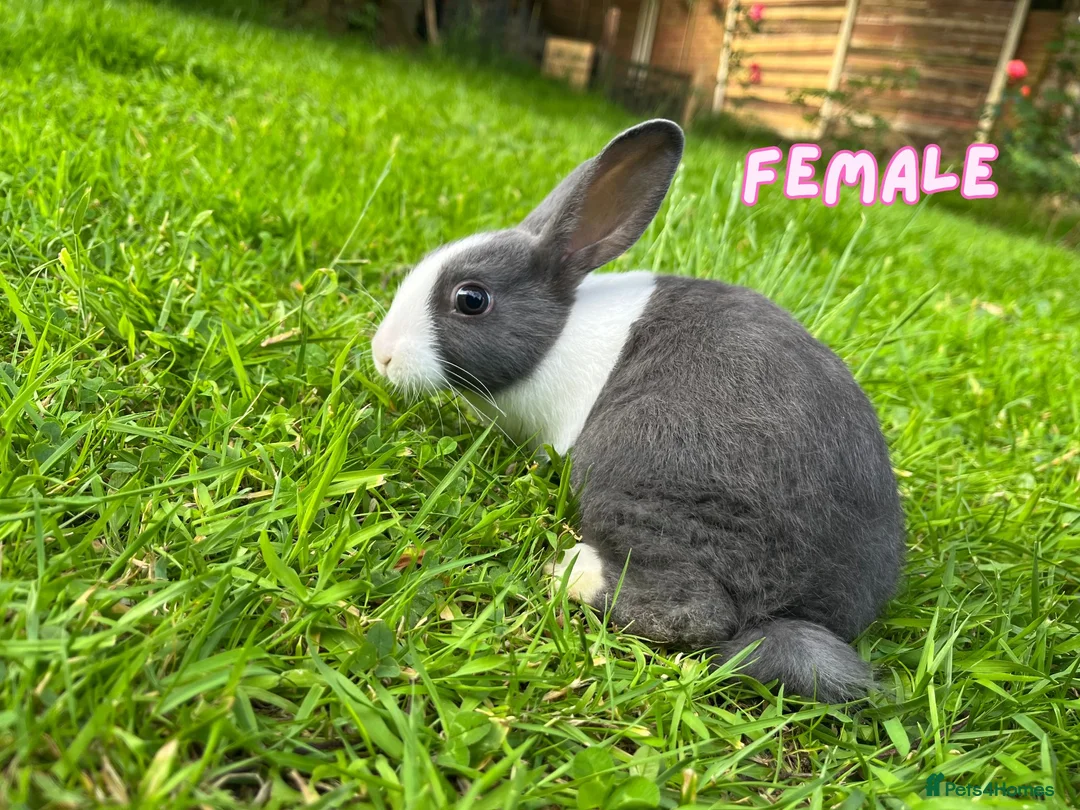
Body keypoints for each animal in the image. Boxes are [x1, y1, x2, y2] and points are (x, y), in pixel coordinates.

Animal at [370, 119, 905, 702]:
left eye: (471, 299)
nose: (383, 355)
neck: (556, 336)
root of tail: (808, 611)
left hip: (640, 474)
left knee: (696, 612)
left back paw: (570, 571)